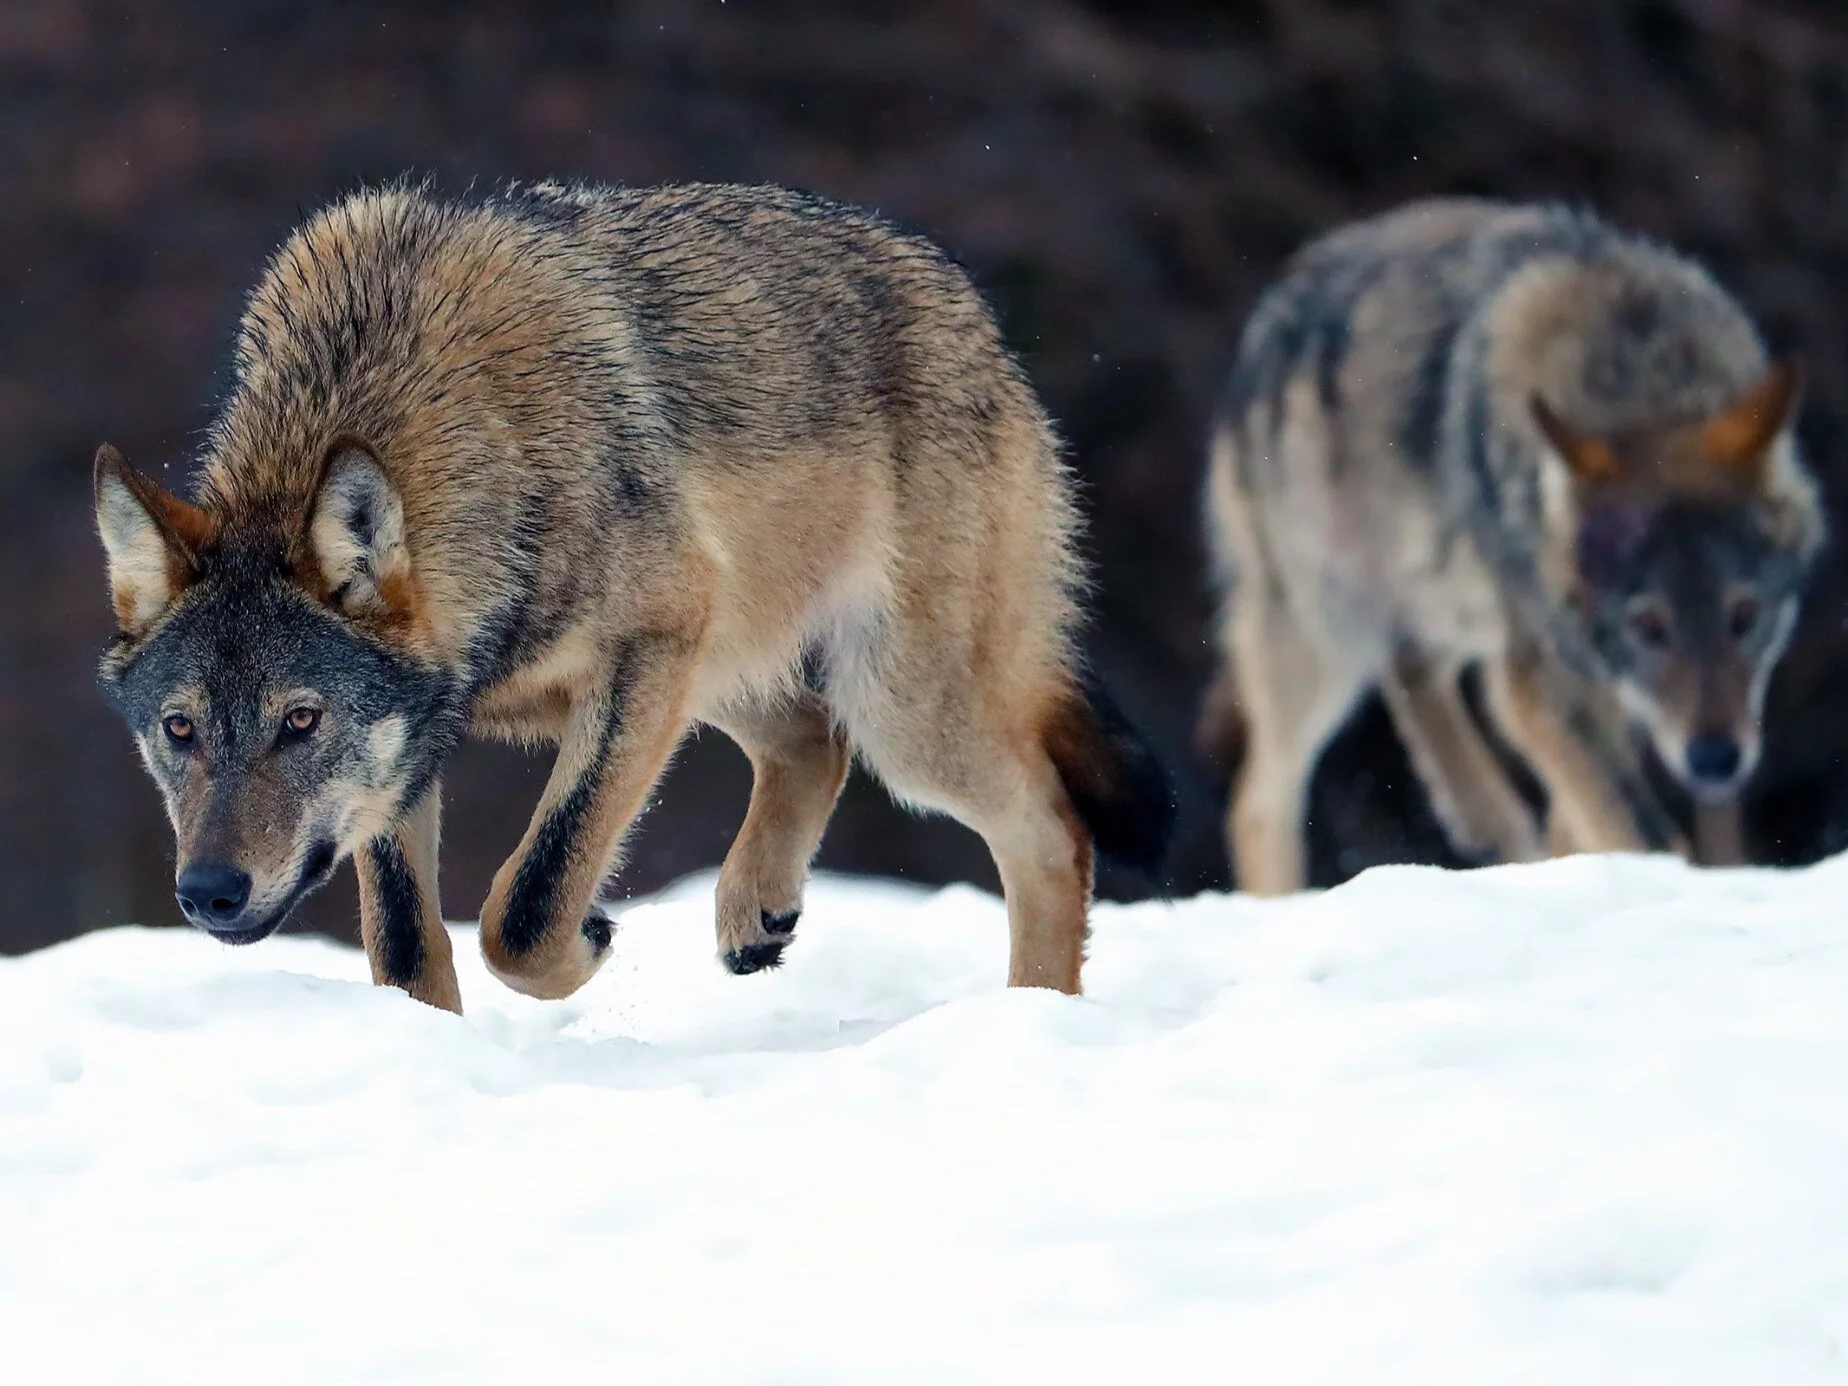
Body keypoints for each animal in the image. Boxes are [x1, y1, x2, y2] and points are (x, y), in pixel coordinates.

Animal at [93, 179, 1167, 1012]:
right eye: (180, 729)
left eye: (301, 721)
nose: (209, 893)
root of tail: (967, 304)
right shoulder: (420, 741)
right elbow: (404, 947)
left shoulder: (644, 648)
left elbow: (528, 907)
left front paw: (587, 945)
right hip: (732, 663)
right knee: (812, 740)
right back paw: (756, 911)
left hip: (893, 710)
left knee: (1048, 829)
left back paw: (1031, 1024)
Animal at [1197, 200, 1818, 901]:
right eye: (1648, 625)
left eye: (1745, 616)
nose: (1715, 759)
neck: (1637, 377)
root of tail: (1269, 316)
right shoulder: (1542, 682)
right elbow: (1644, 831)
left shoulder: (1589, 684)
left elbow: (1584, 818)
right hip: (1329, 636)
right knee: (1258, 800)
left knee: (1414, 669)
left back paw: (1488, 821)